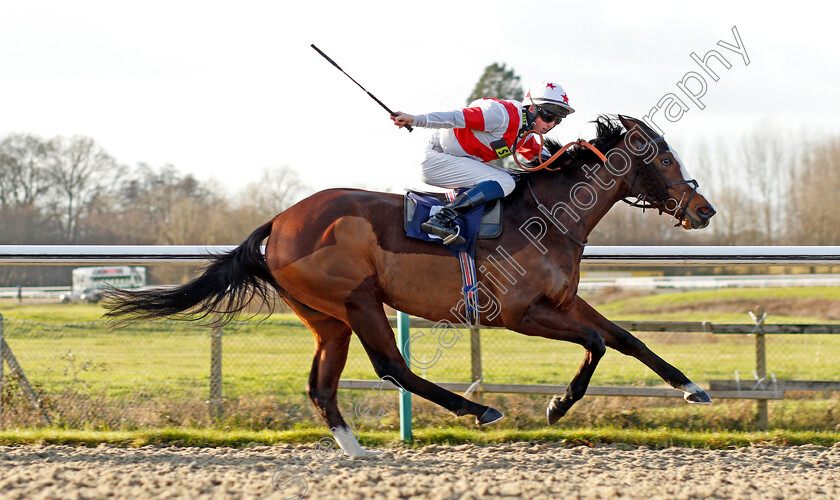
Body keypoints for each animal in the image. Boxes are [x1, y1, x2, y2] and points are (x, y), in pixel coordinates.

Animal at [100, 116, 716, 458]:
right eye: (664, 158)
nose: (703, 209)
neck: (549, 214)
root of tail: (277, 221)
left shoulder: (563, 300)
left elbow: (625, 338)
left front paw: (692, 388)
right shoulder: (519, 312)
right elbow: (594, 343)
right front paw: (557, 405)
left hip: (328, 318)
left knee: (322, 385)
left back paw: (354, 450)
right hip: (358, 299)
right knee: (391, 366)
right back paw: (477, 410)